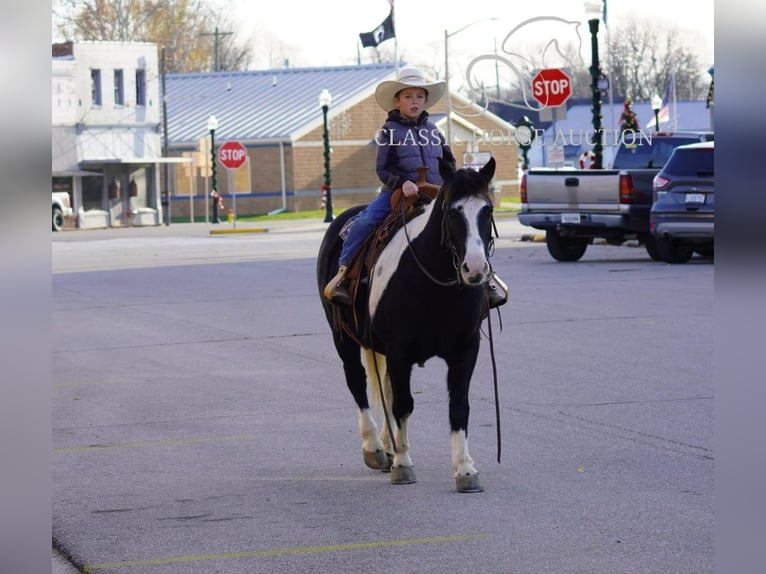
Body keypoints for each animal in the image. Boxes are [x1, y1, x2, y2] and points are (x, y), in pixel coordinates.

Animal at [316, 158, 498, 496]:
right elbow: (403, 405)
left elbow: (458, 406)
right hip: (343, 338)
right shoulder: (399, 351)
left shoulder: (466, 350)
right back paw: (375, 449)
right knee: (358, 383)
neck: (436, 287)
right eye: (452, 211)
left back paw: (387, 446)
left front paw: (465, 469)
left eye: (488, 209)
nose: (476, 268)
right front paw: (402, 464)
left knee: (385, 388)